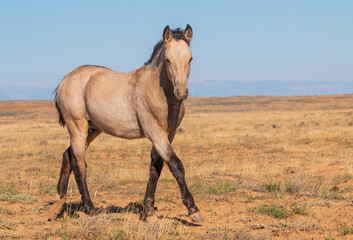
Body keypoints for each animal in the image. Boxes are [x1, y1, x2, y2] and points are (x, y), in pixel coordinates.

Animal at [54, 25, 204, 222]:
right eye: (168, 59)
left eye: (190, 58)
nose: (182, 92)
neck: (158, 91)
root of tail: (65, 81)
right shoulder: (155, 133)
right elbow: (176, 165)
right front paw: (193, 210)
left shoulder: (168, 134)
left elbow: (156, 168)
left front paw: (149, 210)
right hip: (77, 127)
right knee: (79, 164)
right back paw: (90, 208)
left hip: (93, 129)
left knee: (68, 155)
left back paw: (60, 199)